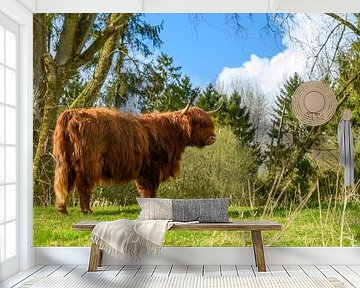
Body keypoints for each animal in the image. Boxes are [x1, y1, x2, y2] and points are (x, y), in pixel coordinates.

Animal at [52, 104, 219, 214]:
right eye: (199, 123)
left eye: (209, 123)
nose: (213, 137)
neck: (170, 133)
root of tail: (72, 113)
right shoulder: (152, 168)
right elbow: (150, 188)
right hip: (88, 163)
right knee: (82, 184)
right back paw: (86, 210)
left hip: (66, 161)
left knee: (65, 181)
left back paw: (62, 209)